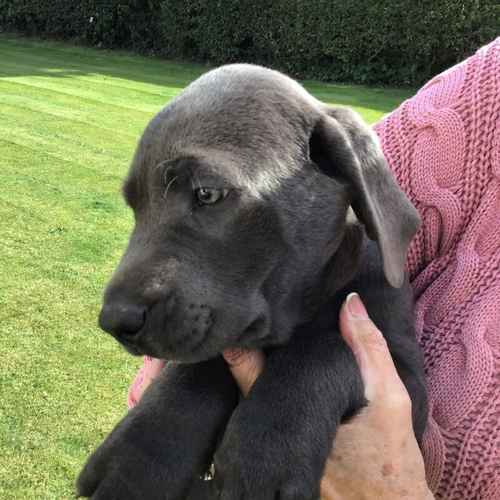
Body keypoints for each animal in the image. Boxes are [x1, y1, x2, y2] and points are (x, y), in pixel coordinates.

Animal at [77, 64, 426, 498]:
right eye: (135, 205)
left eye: (207, 193)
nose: (114, 320)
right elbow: (199, 364)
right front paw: (139, 456)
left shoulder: (407, 381)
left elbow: (324, 349)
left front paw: (266, 454)